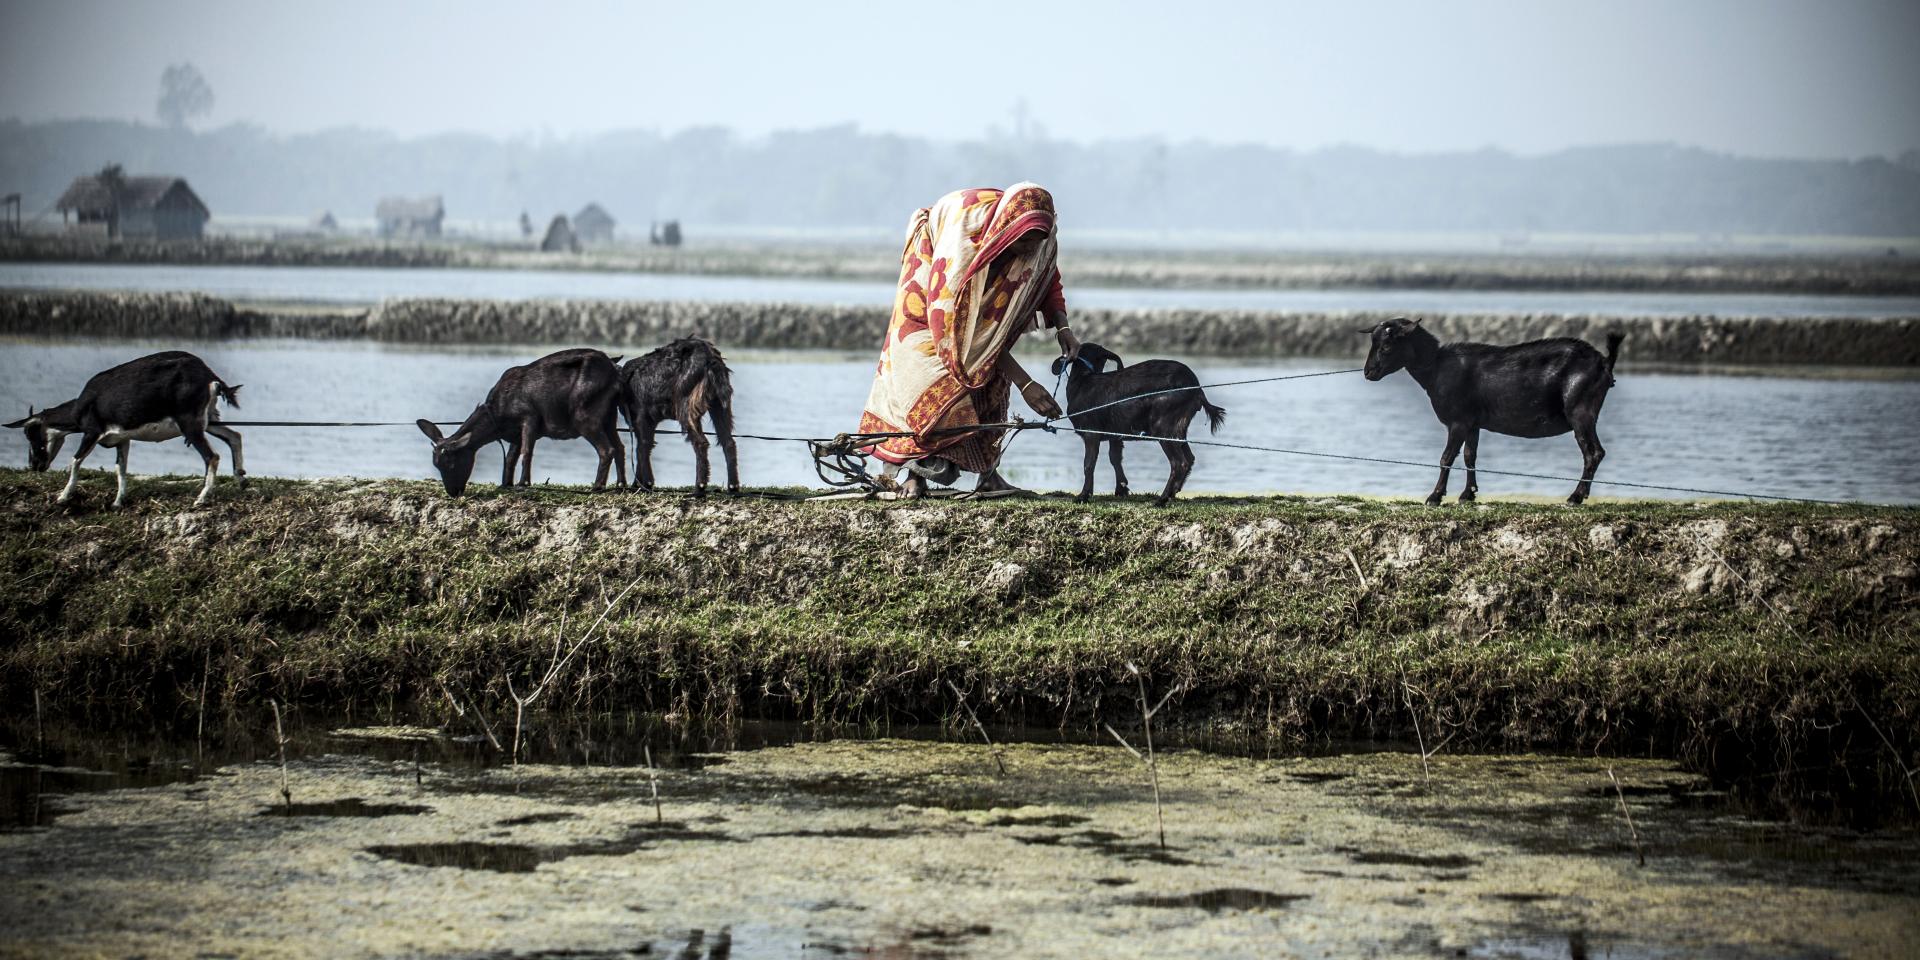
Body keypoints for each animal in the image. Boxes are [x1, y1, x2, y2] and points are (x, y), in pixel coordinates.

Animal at [2, 349, 243, 506]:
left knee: (212, 456)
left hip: (189, 423)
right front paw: (118, 502)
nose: (34, 466)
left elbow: (75, 460)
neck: (84, 403)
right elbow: (121, 468)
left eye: (29, 432)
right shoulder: (122, 438)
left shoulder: (92, 431)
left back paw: (201, 498)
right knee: (234, 436)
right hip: (208, 419)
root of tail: (209, 376)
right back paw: (240, 478)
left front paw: (63, 497)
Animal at [416, 347, 625, 495]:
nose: (453, 492)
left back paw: (597, 487)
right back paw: (621, 484)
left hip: (584, 414)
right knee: (620, 447)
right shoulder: (514, 434)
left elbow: (527, 452)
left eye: (451, 463)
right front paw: (505, 483)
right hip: (609, 416)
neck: (497, 416)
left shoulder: (529, 418)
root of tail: (614, 371)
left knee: (607, 449)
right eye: (436, 464)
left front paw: (523, 483)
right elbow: (510, 458)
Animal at [618, 336, 737, 495]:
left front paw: (647, 484)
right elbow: (644, 446)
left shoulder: (641, 418)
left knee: (701, 443)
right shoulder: (647, 423)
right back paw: (733, 486)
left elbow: (642, 448)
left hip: (686, 404)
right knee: (728, 442)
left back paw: (699, 487)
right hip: (720, 404)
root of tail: (710, 358)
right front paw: (638, 484)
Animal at [1052, 345, 1228, 510]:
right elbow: (1115, 458)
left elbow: (1089, 464)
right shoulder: (1115, 433)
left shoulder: (1091, 432)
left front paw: (1083, 496)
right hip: (1179, 429)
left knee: (1179, 462)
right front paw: (1121, 489)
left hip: (1164, 426)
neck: (1083, 380)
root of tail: (1197, 390)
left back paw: (1162, 499)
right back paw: (1173, 492)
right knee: (1189, 458)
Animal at [1359, 318, 1628, 506]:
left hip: (1580, 410)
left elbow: (1447, 457)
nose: (1368, 372)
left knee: (1593, 453)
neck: (1436, 367)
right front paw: (1468, 494)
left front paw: (1435, 497)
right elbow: (1470, 456)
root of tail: (1604, 362)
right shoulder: (1472, 422)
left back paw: (1576, 497)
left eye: (1386, 346)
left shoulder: (1457, 421)